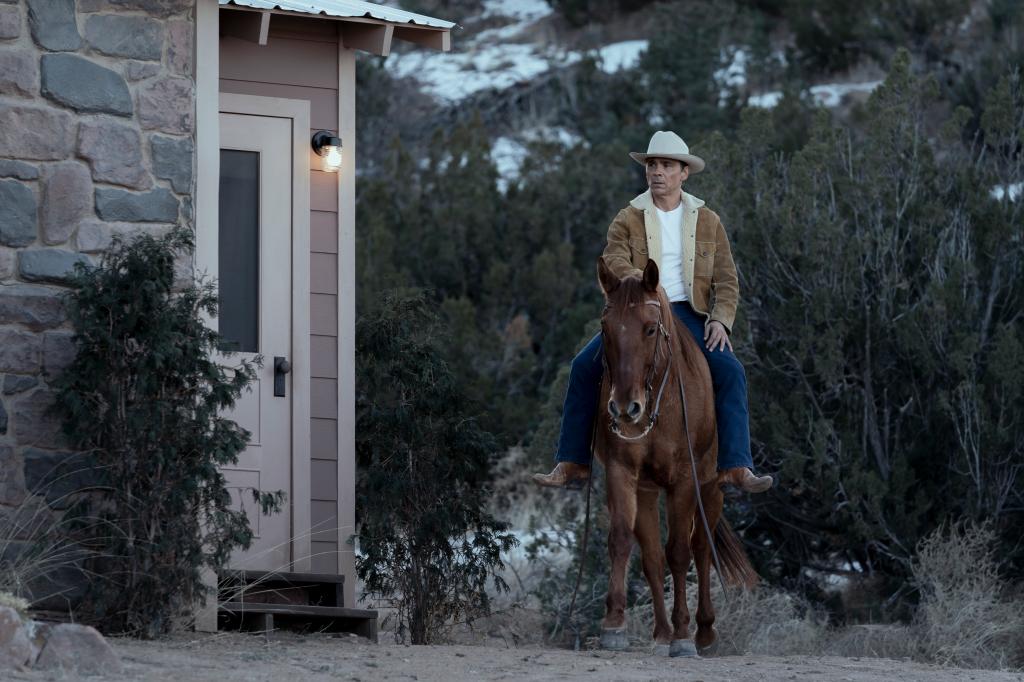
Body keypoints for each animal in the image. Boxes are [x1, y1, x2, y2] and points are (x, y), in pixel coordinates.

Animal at [593, 254, 753, 655]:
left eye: (650, 329)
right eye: (605, 328)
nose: (625, 408)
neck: (658, 403)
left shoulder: (684, 481)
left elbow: (680, 551)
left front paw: (683, 635)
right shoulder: (622, 473)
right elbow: (622, 541)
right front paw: (614, 624)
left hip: (710, 487)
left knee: (701, 548)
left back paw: (704, 631)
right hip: (649, 492)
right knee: (652, 555)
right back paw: (661, 632)